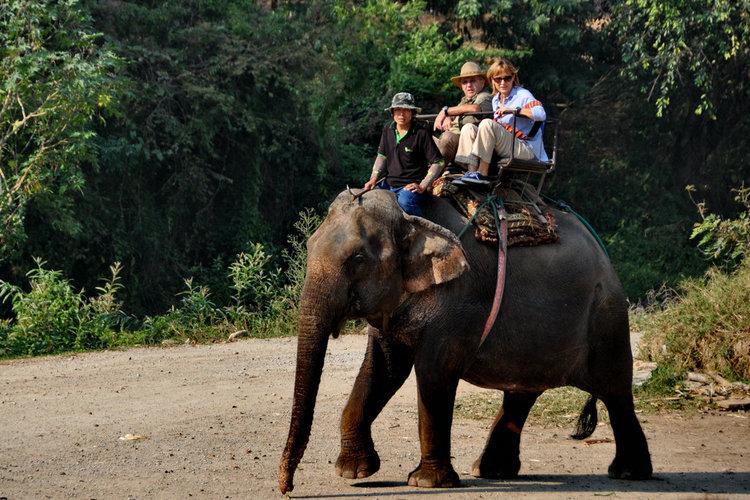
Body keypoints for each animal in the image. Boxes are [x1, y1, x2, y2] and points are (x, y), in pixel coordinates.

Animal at [280, 188, 652, 496]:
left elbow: (433, 373)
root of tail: (603, 252)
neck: (411, 220)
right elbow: (381, 371)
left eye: (357, 259)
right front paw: (353, 473)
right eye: (309, 246)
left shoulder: (459, 302)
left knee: (615, 389)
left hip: (606, 315)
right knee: (522, 393)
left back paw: (629, 473)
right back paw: (492, 471)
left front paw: (426, 482)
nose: (287, 488)